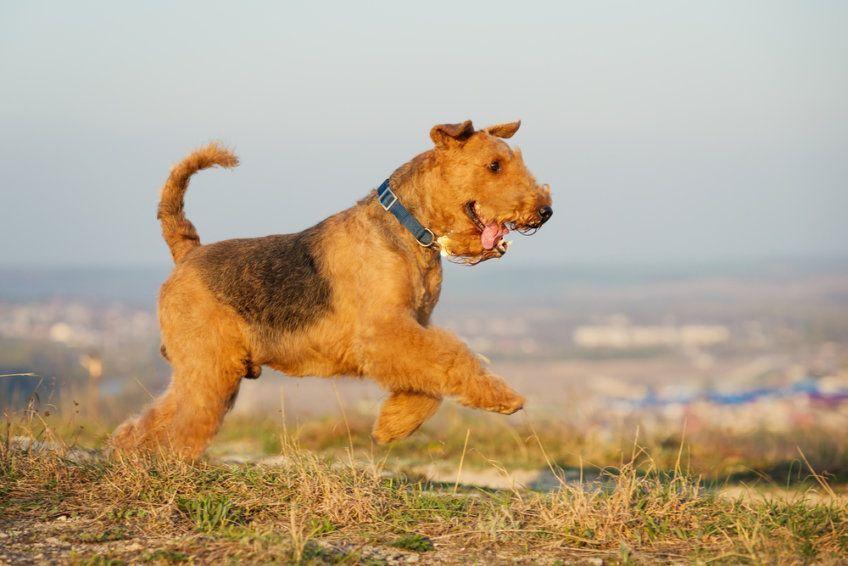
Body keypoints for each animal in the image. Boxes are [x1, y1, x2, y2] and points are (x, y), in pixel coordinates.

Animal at [109, 118, 552, 458]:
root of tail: (188, 253)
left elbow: (432, 382)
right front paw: (505, 398)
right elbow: (454, 359)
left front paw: (390, 427)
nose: (544, 211)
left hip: (207, 369)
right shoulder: (383, 332)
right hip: (209, 368)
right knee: (180, 424)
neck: (408, 230)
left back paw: (128, 457)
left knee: (152, 419)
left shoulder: (411, 329)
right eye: (494, 165)